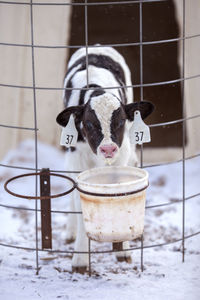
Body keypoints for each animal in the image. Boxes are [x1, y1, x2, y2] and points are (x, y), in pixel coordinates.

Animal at [57, 46, 154, 272]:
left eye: (120, 122)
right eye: (89, 124)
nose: (108, 148)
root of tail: (96, 45)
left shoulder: (121, 155)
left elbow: (122, 195)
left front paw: (123, 249)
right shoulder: (77, 158)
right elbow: (80, 203)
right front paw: (80, 259)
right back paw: (69, 231)